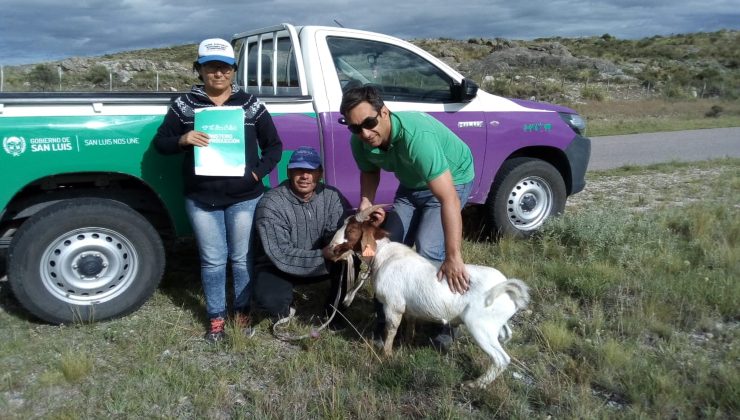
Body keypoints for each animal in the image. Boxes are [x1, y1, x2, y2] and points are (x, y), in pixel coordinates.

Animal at [330, 206, 532, 388]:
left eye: (351, 230)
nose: (331, 248)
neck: (383, 256)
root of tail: (505, 287)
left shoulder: (394, 305)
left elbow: (391, 329)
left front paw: (386, 355)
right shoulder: (409, 308)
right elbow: (409, 325)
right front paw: (407, 344)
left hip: (480, 325)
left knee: (501, 359)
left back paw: (474, 384)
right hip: (495, 324)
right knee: (506, 336)